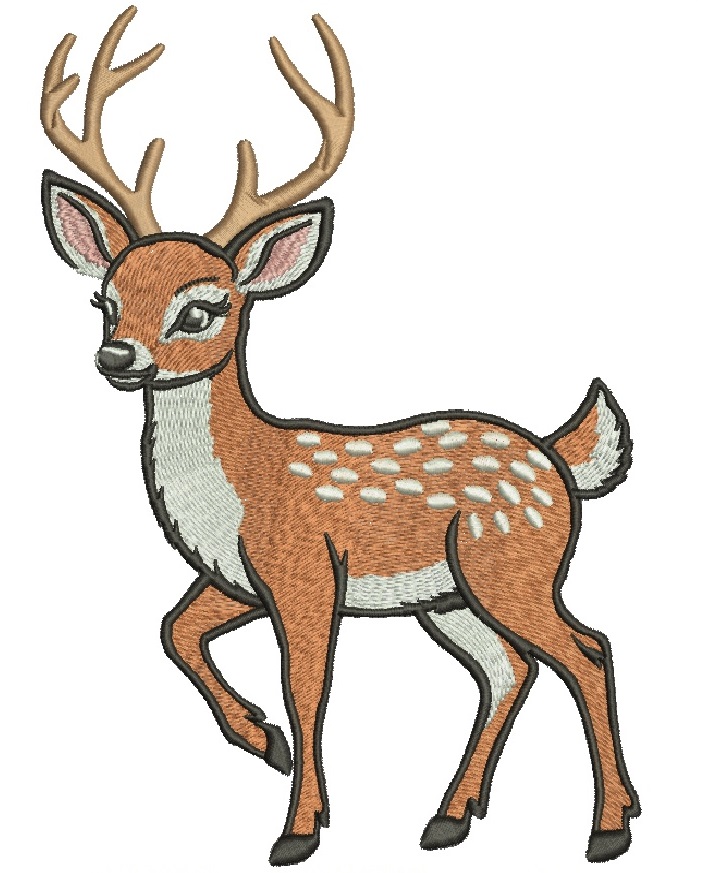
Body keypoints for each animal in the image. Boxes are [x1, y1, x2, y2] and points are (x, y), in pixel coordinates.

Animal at [40, 6, 640, 867]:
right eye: (105, 299)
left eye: (201, 308)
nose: (116, 357)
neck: (241, 481)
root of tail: (559, 459)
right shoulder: (235, 579)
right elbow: (172, 630)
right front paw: (261, 740)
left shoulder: (304, 569)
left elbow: (307, 686)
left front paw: (297, 827)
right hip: (447, 596)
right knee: (508, 668)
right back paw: (448, 817)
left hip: (510, 564)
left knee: (584, 650)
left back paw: (607, 826)